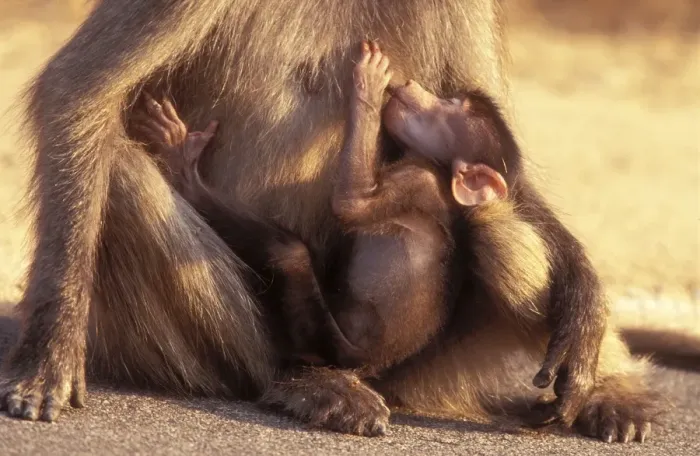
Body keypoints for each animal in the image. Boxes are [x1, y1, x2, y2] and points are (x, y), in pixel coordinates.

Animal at [0, 0, 661, 444]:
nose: (412, 97)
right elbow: (80, 92)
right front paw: (49, 355)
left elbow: (507, 176)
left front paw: (585, 304)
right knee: (119, 165)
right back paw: (301, 381)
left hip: (430, 368)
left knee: (498, 225)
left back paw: (611, 390)